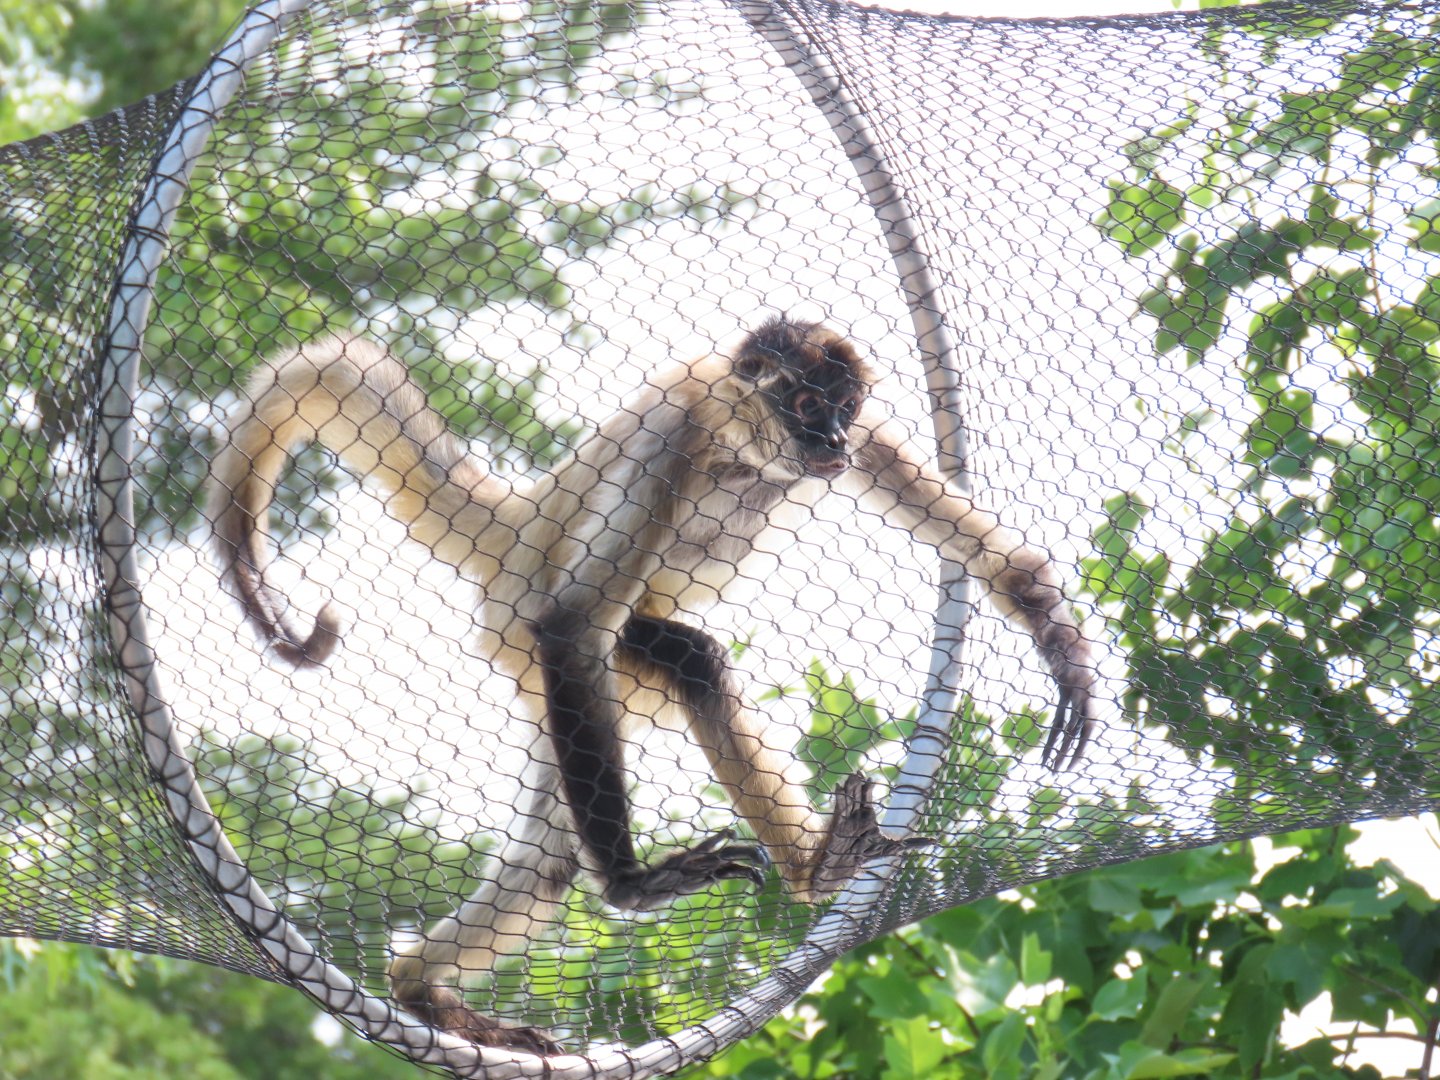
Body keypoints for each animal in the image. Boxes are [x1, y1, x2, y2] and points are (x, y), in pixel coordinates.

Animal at [208, 317, 1095, 1054]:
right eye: (806, 400)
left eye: (845, 403)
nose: (832, 434)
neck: (740, 452)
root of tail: (523, 522)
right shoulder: (669, 435)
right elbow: (574, 624)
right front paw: (636, 887)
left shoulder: (866, 441)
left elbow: (990, 557)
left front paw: (1065, 654)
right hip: (535, 641)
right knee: (686, 660)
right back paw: (812, 871)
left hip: (564, 693)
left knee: (546, 867)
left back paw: (418, 988)